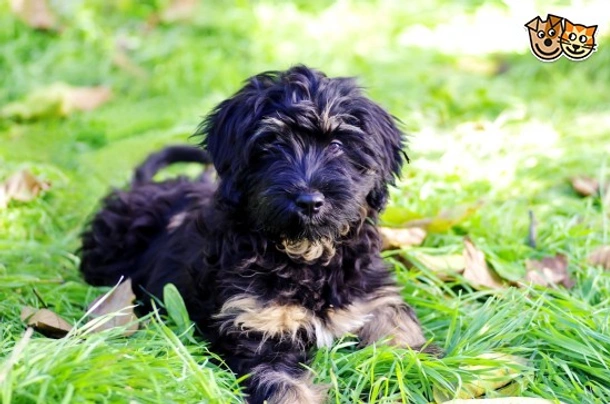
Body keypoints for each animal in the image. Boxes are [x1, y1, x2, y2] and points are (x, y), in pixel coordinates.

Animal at [81, 66, 430, 404]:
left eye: (338, 145)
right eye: (272, 145)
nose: (309, 201)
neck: (306, 256)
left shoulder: (374, 299)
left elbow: (401, 338)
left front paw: (416, 371)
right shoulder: (255, 327)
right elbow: (284, 386)